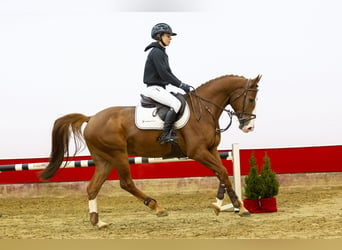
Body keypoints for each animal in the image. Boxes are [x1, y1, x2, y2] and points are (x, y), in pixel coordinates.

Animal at [39, 73, 260, 228]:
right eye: (250, 100)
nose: (248, 127)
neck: (204, 110)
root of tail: (91, 118)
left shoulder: (211, 150)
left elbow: (222, 174)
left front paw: (232, 206)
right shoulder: (198, 152)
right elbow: (221, 171)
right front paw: (233, 206)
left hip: (104, 160)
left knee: (93, 187)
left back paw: (98, 221)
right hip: (118, 154)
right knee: (126, 183)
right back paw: (157, 207)